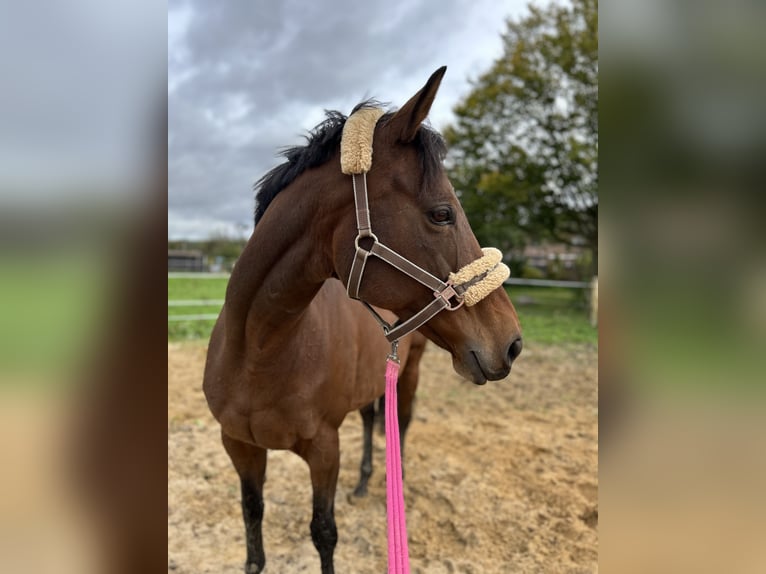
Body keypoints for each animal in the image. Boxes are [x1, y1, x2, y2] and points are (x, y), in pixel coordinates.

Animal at [202, 68, 528, 574]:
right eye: (442, 213)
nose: (511, 342)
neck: (258, 351)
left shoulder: (323, 448)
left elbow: (323, 532)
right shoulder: (239, 445)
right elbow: (252, 517)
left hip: (410, 371)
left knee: (402, 421)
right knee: (374, 416)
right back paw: (363, 481)